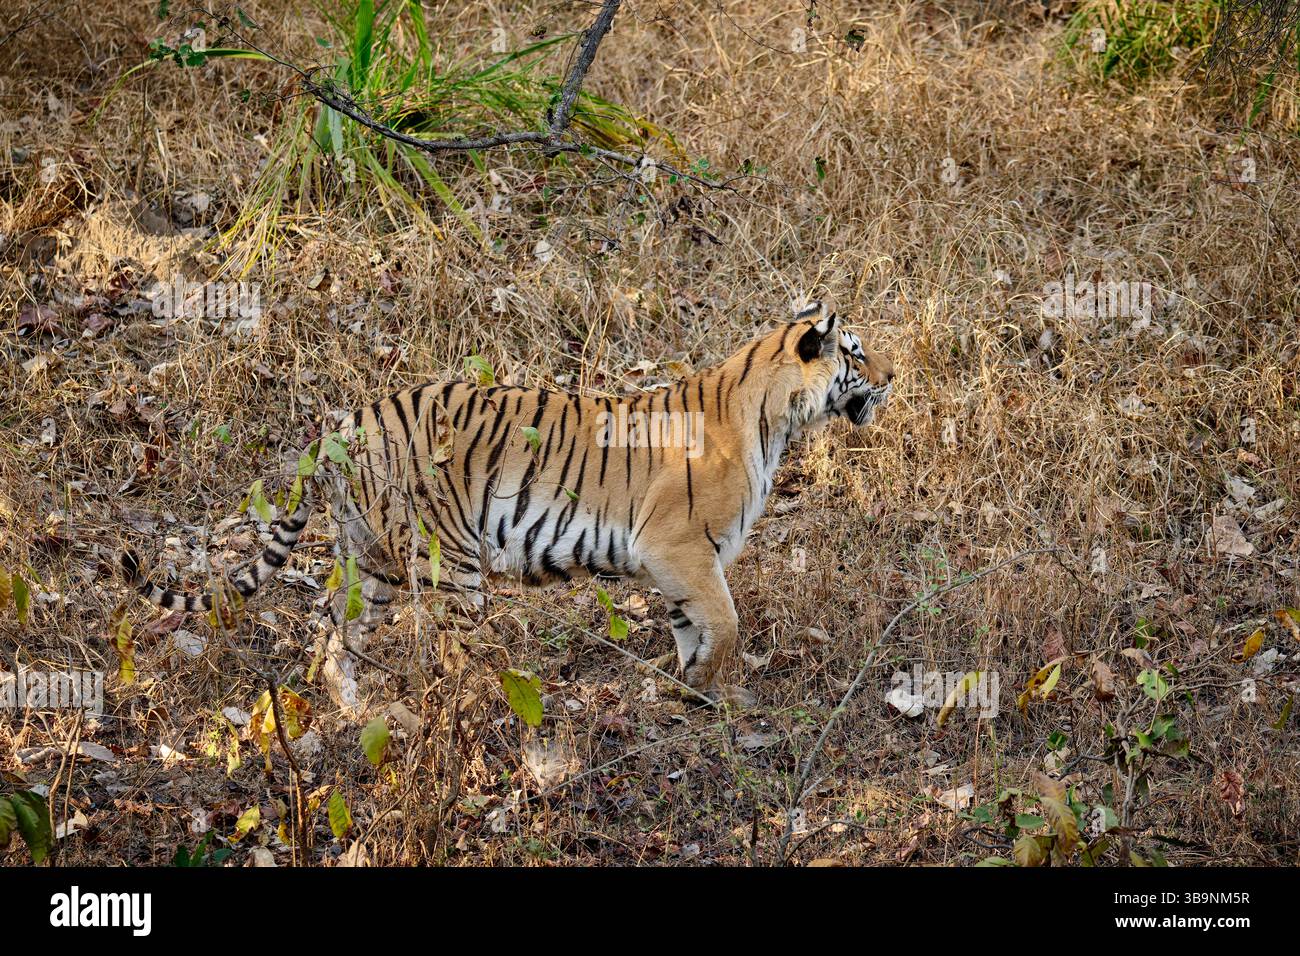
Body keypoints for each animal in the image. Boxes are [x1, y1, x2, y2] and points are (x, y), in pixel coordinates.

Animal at [122, 302, 894, 703]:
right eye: (856, 352)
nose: (894, 374)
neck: (775, 417)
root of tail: (345, 423)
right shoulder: (677, 550)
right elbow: (726, 623)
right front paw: (707, 683)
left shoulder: (680, 566)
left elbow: (691, 628)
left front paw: (698, 693)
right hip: (448, 562)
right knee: (447, 655)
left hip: (368, 558)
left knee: (337, 638)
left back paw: (358, 714)